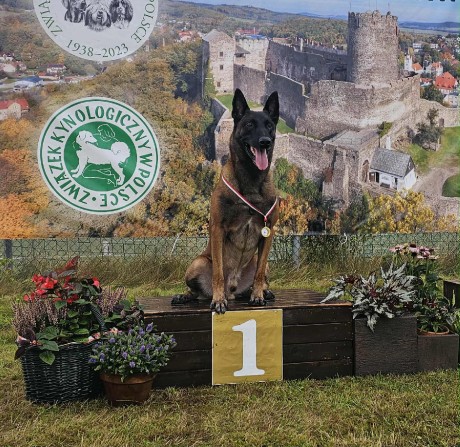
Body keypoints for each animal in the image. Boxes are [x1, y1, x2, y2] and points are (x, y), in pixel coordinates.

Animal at [172, 89, 280, 314]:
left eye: (269, 125)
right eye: (249, 124)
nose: (265, 141)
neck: (251, 181)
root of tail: (233, 289)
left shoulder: (269, 232)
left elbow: (258, 274)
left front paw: (258, 296)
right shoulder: (218, 229)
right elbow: (218, 273)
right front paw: (219, 300)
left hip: (261, 262)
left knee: (259, 276)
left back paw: (262, 292)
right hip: (197, 263)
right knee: (197, 291)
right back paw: (186, 296)